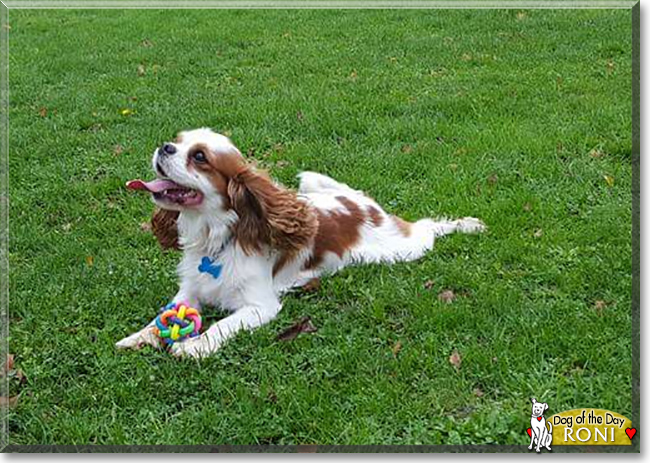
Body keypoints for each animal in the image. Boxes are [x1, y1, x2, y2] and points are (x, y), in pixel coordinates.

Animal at [115, 129, 480, 360]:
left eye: (200, 156)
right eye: (177, 142)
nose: (164, 147)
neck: (215, 239)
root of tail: (362, 202)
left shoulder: (260, 306)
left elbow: (224, 324)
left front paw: (194, 347)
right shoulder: (189, 292)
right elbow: (161, 316)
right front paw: (139, 337)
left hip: (403, 248)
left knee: (427, 227)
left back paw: (466, 224)